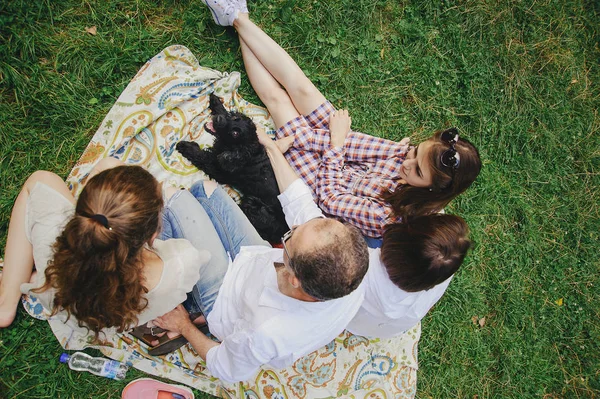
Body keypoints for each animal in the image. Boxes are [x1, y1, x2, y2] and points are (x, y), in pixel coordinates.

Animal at [177, 94, 290, 244]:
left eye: (235, 133)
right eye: (235, 118)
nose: (218, 119)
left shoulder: (219, 170)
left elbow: (202, 156)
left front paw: (185, 146)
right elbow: (223, 110)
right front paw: (215, 101)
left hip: (255, 206)